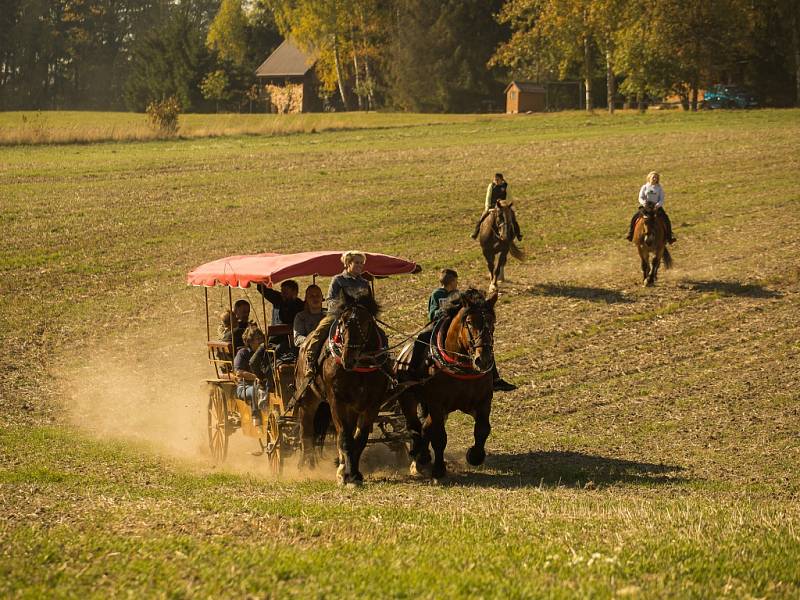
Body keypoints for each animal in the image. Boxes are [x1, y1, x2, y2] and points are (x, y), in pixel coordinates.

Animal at [296, 288, 390, 486]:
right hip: (307, 400)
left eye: (366, 322)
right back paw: (306, 466)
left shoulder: (372, 405)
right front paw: (347, 476)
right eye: (342, 322)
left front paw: (353, 473)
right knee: (306, 432)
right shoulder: (337, 402)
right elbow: (345, 438)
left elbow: (359, 439)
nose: (348, 358)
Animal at [396, 288, 496, 480]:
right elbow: (440, 437)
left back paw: (423, 457)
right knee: (415, 426)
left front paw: (474, 455)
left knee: (425, 427)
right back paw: (418, 455)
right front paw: (439, 469)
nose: (484, 360)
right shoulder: (436, 404)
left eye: (492, 321)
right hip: (408, 399)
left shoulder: (483, 401)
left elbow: (483, 429)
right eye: (469, 322)